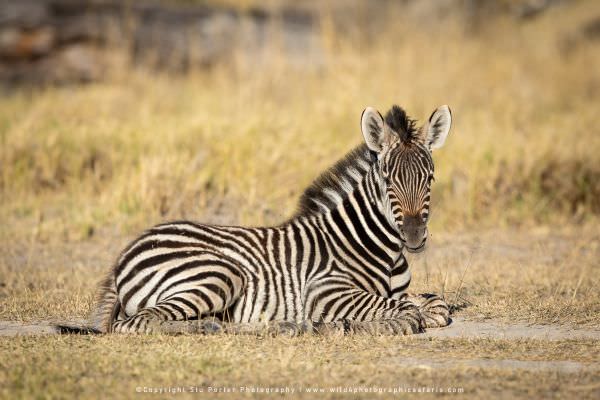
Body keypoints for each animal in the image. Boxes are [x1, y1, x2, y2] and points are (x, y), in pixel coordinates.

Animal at [90, 104, 450, 334]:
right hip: (218, 273)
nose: (414, 236)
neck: (380, 249)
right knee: (137, 323)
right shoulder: (325, 290)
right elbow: (409, 311)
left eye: (430, 179)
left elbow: (435, 303)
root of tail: (127, 251)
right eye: (388, 181)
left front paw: (428, 310)